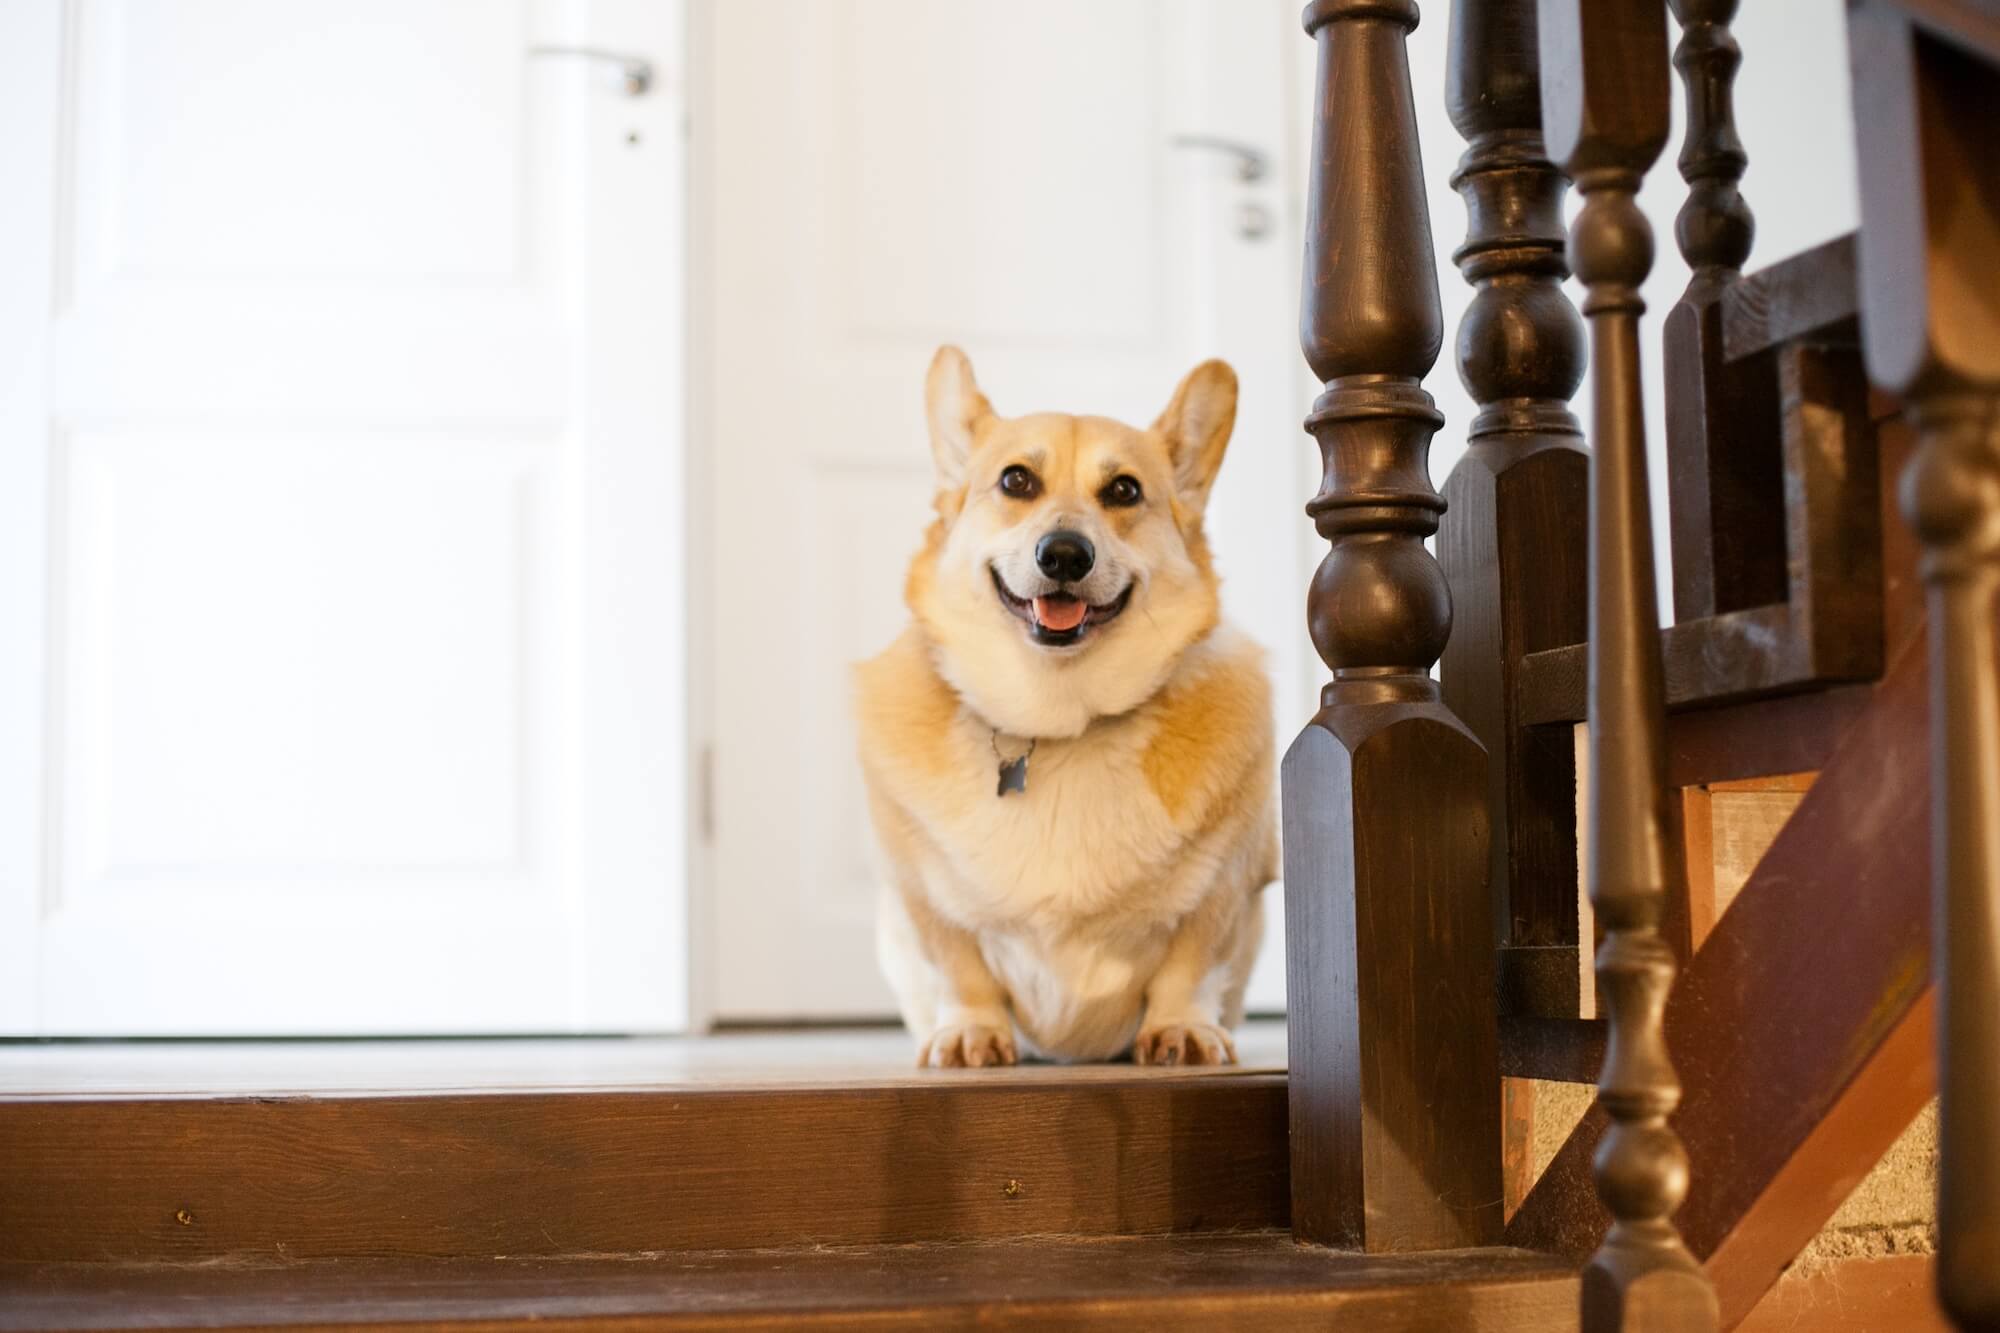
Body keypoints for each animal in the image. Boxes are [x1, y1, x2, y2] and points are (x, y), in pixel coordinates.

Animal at [852, 348, 1272, 1064]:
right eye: (1016, 480)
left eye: (1124, 490)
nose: (1067, 555)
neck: (1057, 718)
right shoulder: (918, 893)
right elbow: (958, 966)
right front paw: (970, 1031)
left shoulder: (1230, 883)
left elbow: (1192, 963)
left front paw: (1182, 1027)